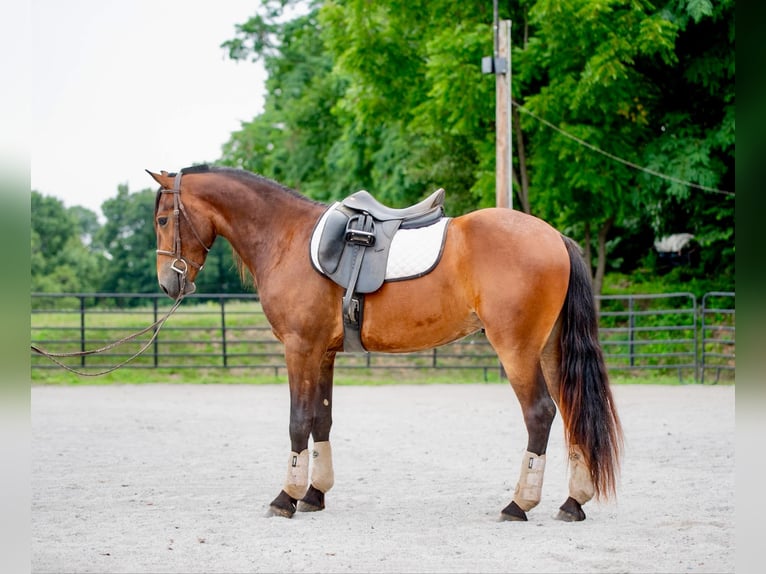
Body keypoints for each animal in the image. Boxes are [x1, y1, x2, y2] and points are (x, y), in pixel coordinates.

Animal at [150, 164, 624, 524]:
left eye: (162, 220)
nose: (169, 283)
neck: (287, 238)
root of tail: (554, 237)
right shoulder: (323, 354)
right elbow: (322, 421)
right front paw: (314, 494)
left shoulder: (299, 349)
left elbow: (298, 421)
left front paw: (286, 497)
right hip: (549, 350)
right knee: (571, 412)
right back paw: (572, 502)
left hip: (518, 351)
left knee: (540, 414)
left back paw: (518, 503)